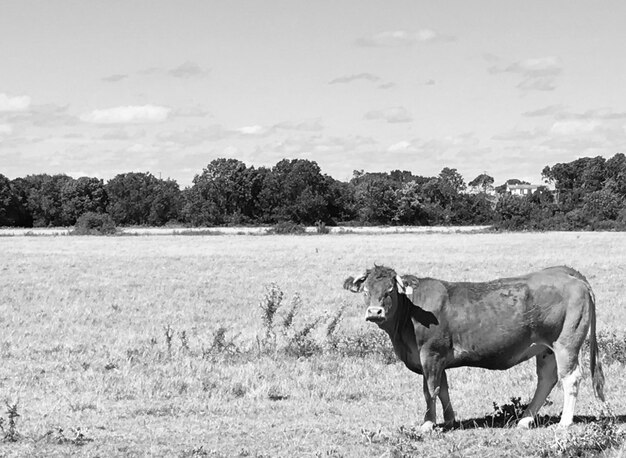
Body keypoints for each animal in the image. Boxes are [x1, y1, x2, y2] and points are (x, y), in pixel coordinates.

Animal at [344, 264, 604, 430]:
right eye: (366, 291)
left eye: (389, 290)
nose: (374, 312)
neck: (410, 314)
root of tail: (565, 272)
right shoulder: (438, 358)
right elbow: (444, 389)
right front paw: (449, 420)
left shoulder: (431, 354)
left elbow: (430, 390)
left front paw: (428, 423)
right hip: (545, 349)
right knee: (547, 379)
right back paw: (525, 419)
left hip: (566, 343)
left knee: (570, 378)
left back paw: (564, 422)